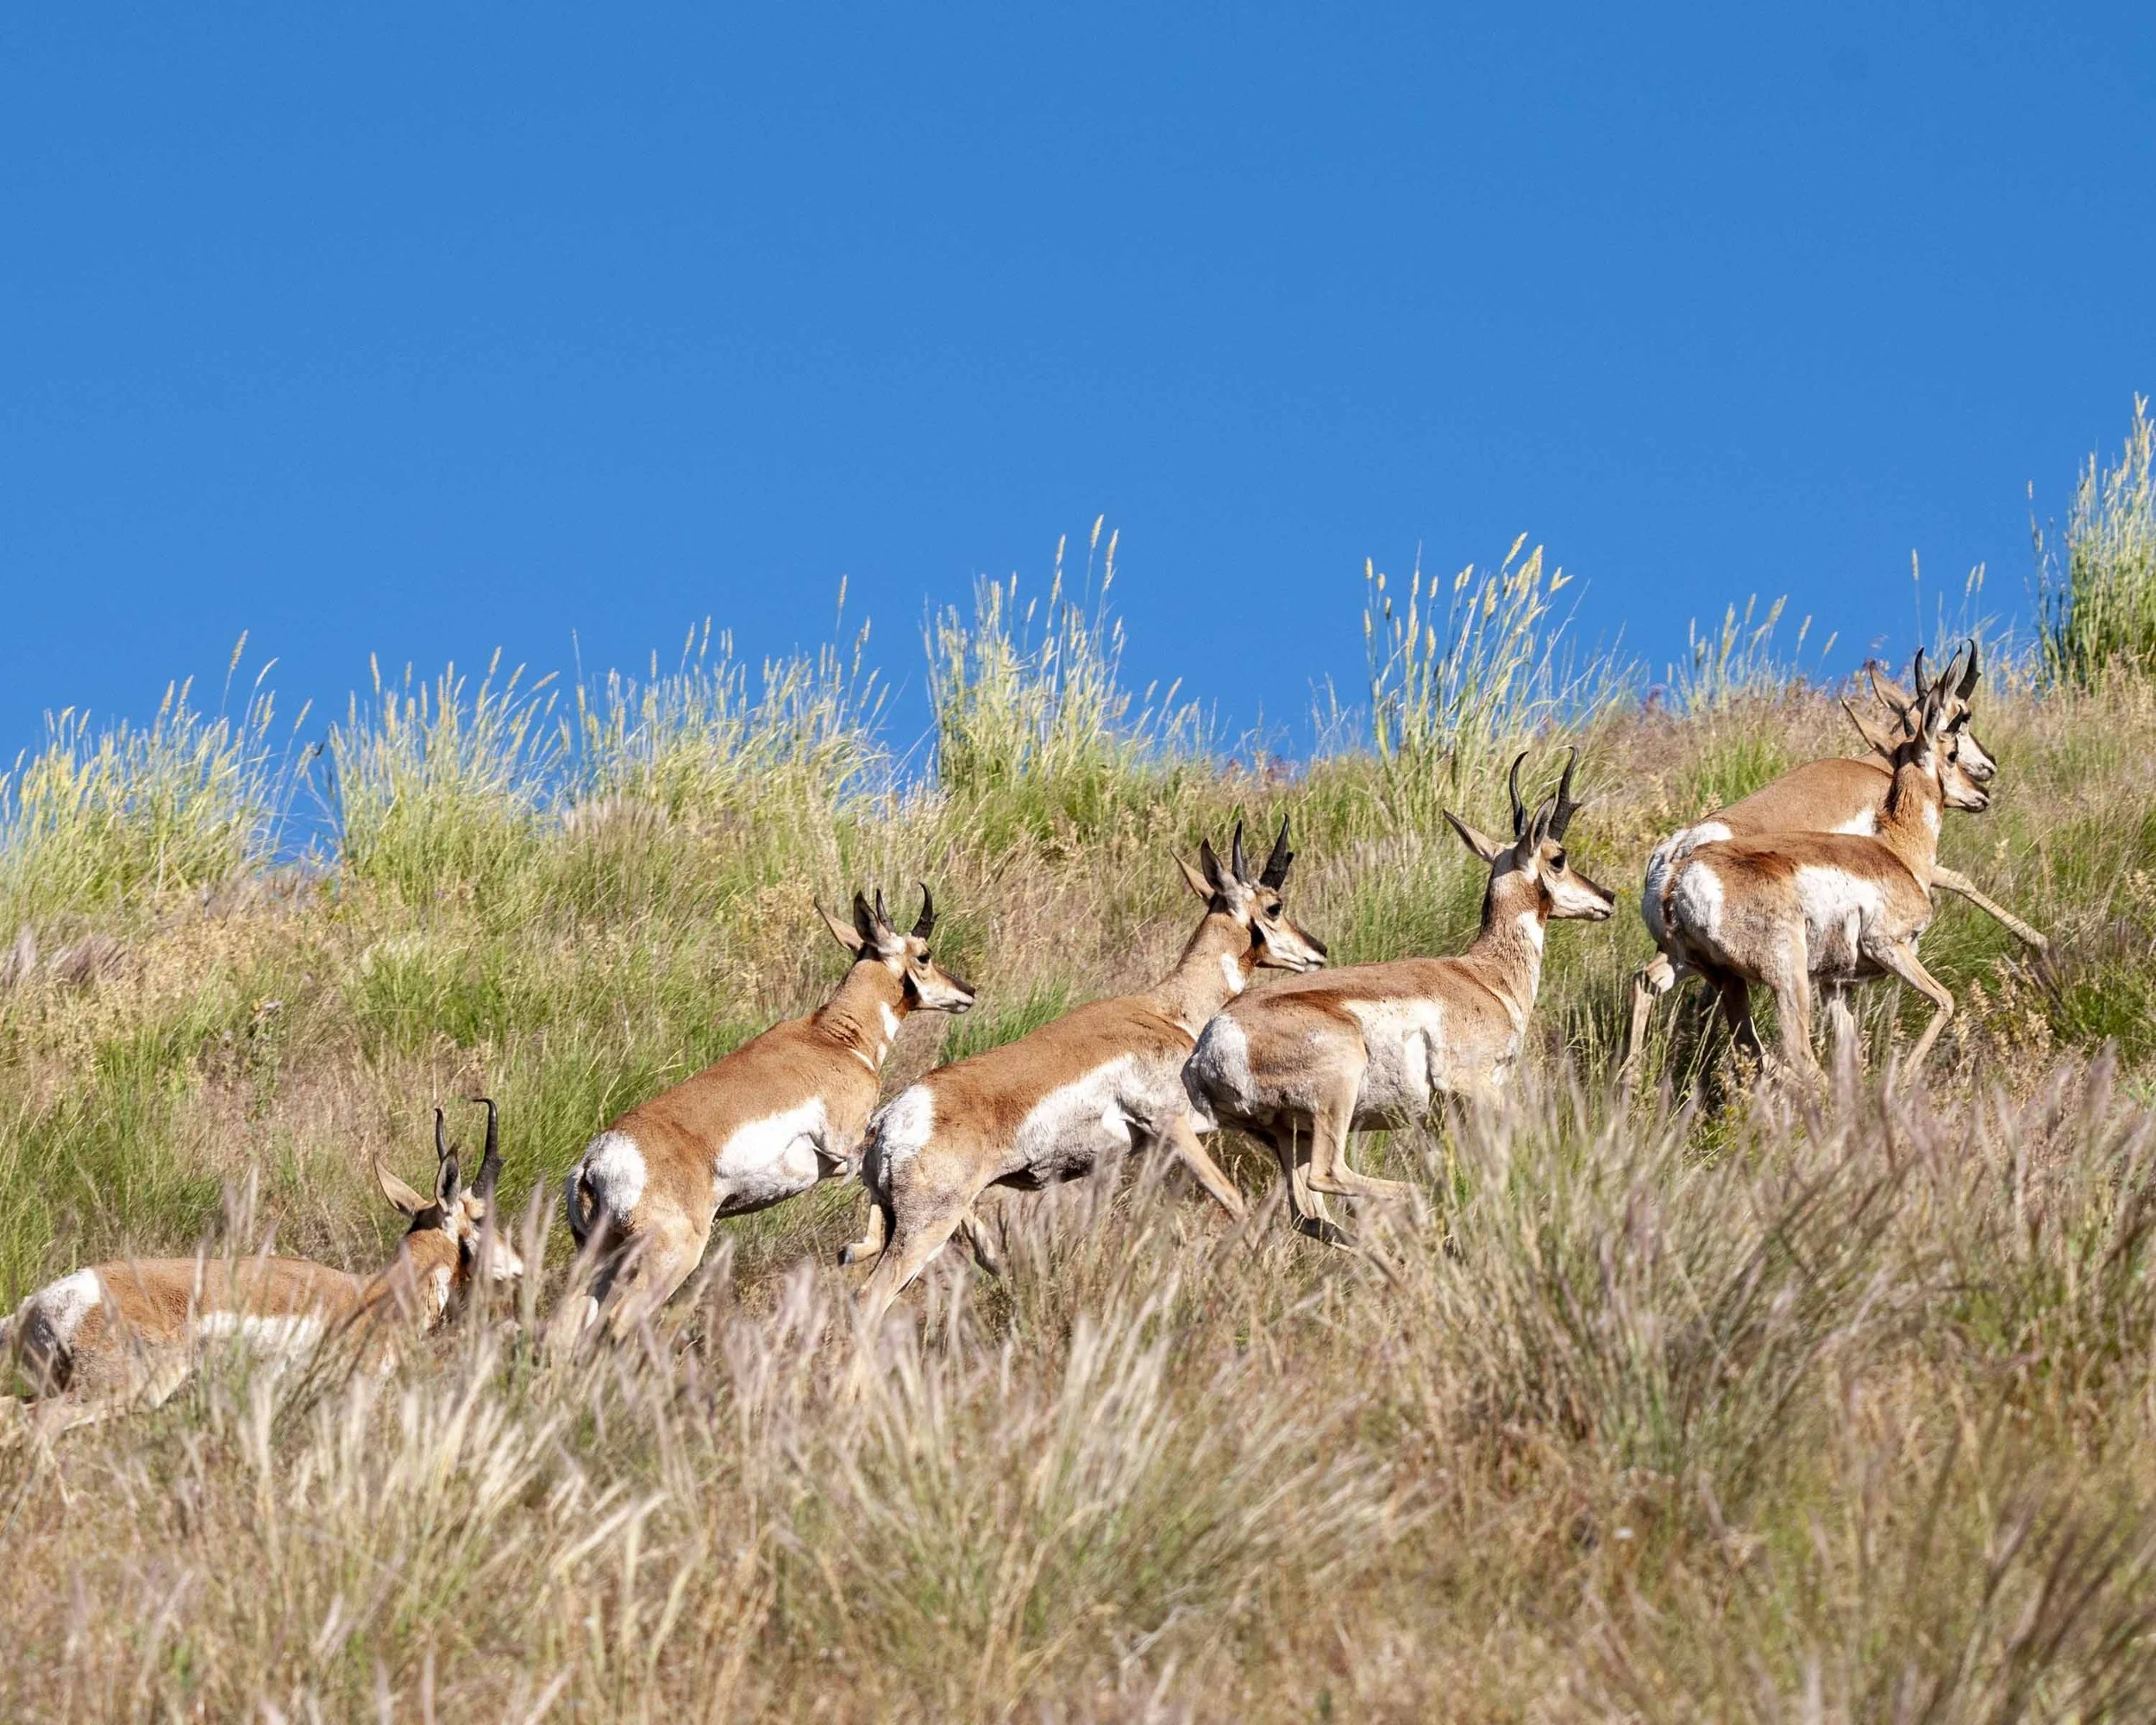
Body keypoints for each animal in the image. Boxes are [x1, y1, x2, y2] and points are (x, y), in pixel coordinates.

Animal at [559, 886, 975, 1338]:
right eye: (925, 955)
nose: (968, 990)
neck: (832, 1039)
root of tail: (596, 1161)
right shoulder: (844, 1149)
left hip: (596, 1256)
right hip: (669, 1257)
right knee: (617, 1321)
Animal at [848, 821, 1328, 1326]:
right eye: (1275, 906)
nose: (1319, 950)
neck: (1164, 1010)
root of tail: (888, 1121)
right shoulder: (1171, 1125)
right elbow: (1233, 1200)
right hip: (924, 1227)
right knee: (869, 1297)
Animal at [1185, 754, 1612, 1242]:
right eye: (1559, 858)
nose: (1608, 897)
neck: (1484, 976)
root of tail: (1209, 1042)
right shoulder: (1477, 1087)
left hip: (1288, 1135)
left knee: (1308, 1214)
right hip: (1337, 1094)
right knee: (1329, 1176)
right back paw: (1422, 1200)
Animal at [1625, 641, 2032, 1078]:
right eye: (1962, 718)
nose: (1986, 775)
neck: (1877, 767)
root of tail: (1677, 860)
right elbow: (1962, 882)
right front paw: (2037, 941)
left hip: (1693, 960)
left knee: (1654, 985)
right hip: (1782, 970)